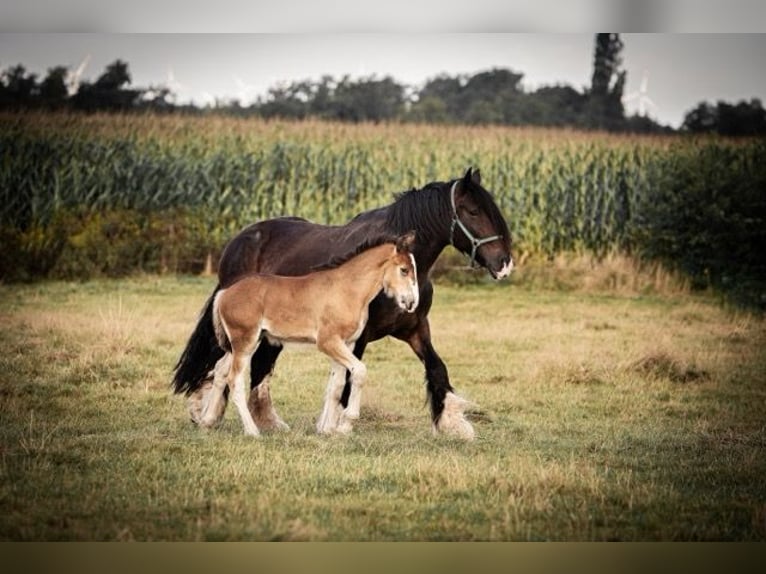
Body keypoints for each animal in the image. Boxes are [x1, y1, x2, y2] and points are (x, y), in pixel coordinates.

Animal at [204, 233, 420, 436]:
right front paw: (346, 424)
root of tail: (224, 293)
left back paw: (207, 421)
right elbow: (359, 371)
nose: (411, 303)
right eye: (404, 270)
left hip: (241, 344)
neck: (346, 290)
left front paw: (328, 430)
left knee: (221, 370)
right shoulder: (328, 342)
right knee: (234, 380)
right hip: (245, 343)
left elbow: (336, 385)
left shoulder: (345, 344)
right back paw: (251, 431)